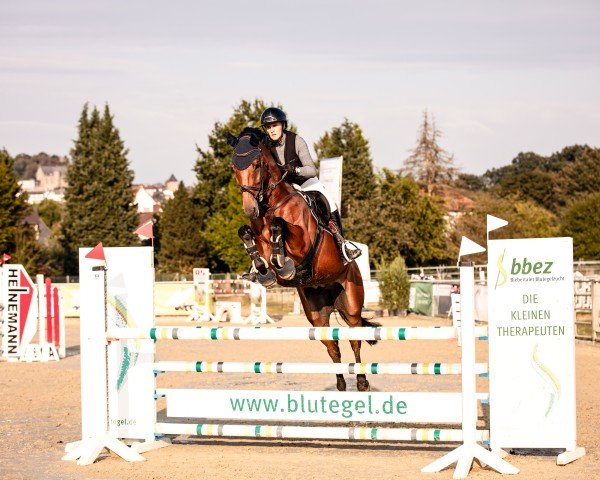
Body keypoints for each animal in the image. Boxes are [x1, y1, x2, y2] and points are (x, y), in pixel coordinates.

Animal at [227, 125, 378, 392]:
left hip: (351, 303)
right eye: (235, 167)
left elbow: (280, 226)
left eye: (256, 165)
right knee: (332, 347)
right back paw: (340, 383)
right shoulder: (259, 237)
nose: (250, 210)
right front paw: (263, 270)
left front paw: (282, 262)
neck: (272, 204)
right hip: (317, 314)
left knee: (355, 340)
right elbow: (249, 237)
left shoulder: (302, 243)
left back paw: (361, 381)